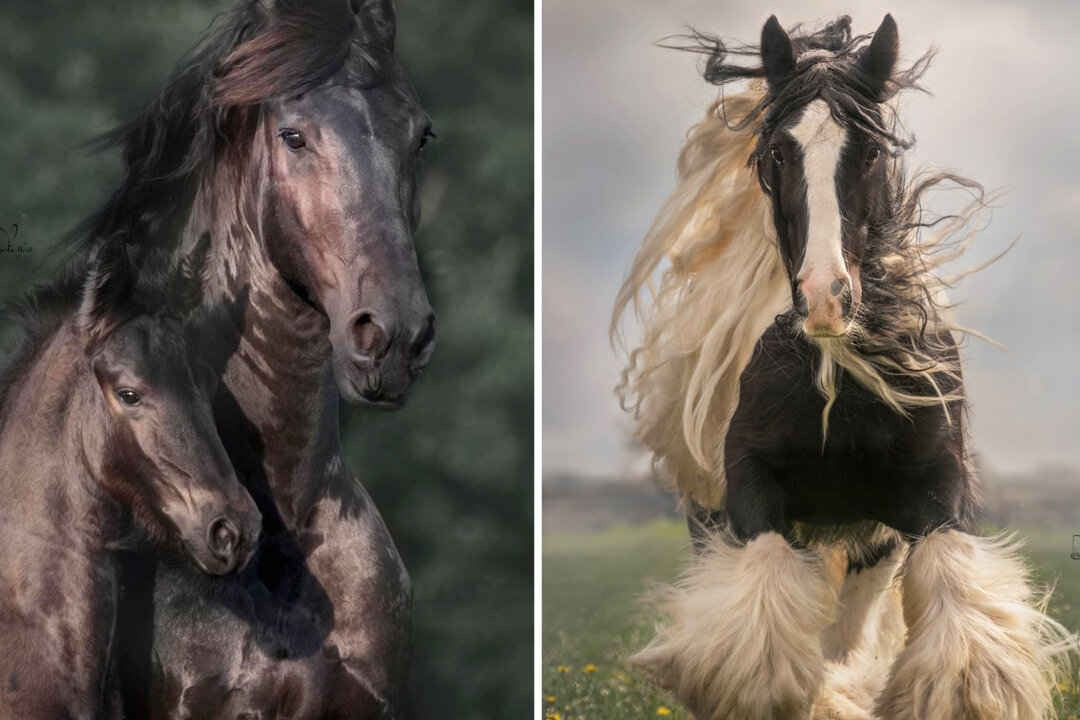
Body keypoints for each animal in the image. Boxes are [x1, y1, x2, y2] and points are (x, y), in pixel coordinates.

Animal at [613, 15, 1070, 720]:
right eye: (779, 153)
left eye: (872, 151)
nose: (827, 297)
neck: (843, 378)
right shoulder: (750, 486)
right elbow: (763, 636)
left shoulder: (934, 490)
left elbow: (952, 625)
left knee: (850, 625)